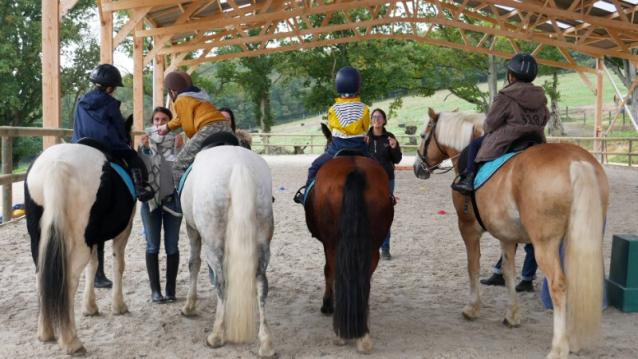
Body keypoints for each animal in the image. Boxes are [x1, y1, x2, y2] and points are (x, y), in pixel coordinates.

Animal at [24, 119, 136, 356]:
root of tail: (57, 166)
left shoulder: (93, 237)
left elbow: (93, 266)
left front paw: (90, 307)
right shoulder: (123, 231)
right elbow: (117, 264)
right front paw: (118, 306)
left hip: (40, 240)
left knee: (41, 277)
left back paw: (46, 332)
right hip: (79, 240)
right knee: (68, 280)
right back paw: (71, 341)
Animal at [178, 146, 276, 358]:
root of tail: (239, 164)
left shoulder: (192, 228)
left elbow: (193, 263)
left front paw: (189, 306)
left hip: (214, 245)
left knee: (222, 282)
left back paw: (217, 335)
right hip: (263, 244)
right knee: (261, 284)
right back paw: (266, 343)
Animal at [304, 127, 396, 354]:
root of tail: (355, 171)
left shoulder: (327, 244)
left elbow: (327, 271)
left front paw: (327, 304)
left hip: (333, 244)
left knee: (334, 270)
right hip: (372, 244)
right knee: (365, 277)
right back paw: (363, 331)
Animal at [416, 109, 608, 359]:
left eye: (423, 136)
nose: (418, 167)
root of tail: (576, 161)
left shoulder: (468, 229)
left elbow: (473, 267)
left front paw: (472, 307)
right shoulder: (506, 236)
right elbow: (508, 272)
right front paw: (512, 315)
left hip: (545, 245)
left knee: (558, 285)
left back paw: (559, 346)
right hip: (579, 240)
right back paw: (573, 339)